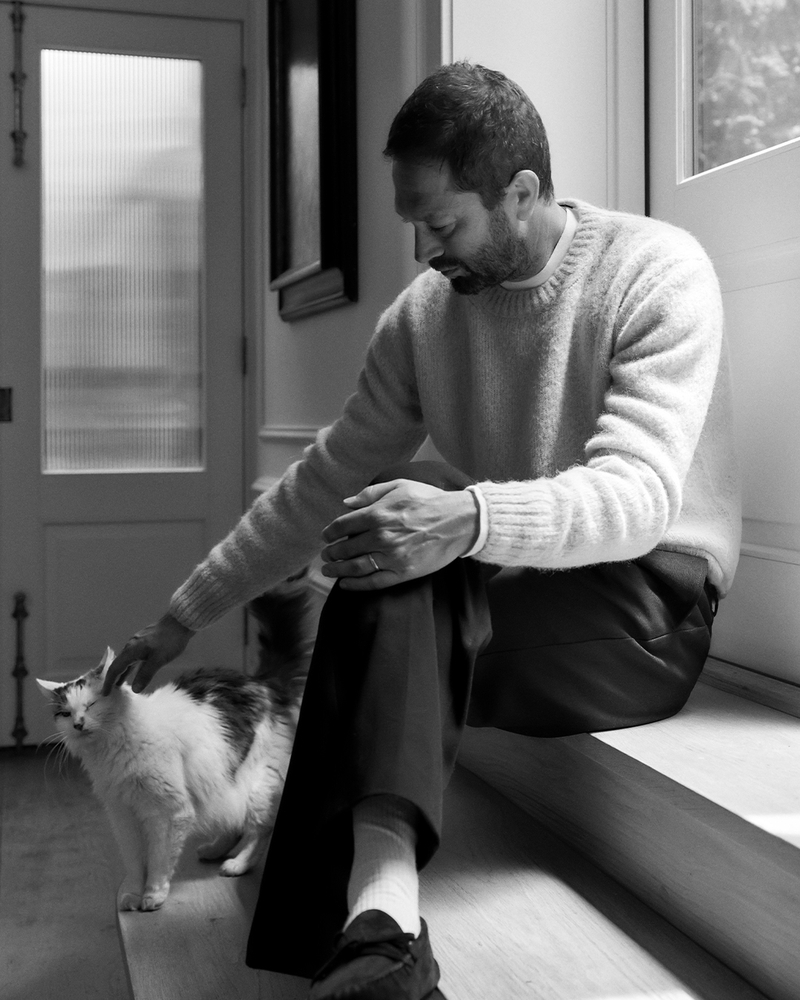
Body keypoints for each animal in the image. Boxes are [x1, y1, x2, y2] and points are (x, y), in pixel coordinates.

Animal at [38, 584, 312, 916]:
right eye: (65, 714)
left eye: (90, 705)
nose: (78, 724)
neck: (110, 751)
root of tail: (262, 682)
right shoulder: (122, 813)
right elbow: (134, 863)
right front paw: (132, 895)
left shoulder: (168, 813)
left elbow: (158, 859)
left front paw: (153, 895)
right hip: (222, 782)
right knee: (233, 822)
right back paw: (214, 850)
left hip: (255, 786)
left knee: (259, 830)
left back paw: (237, 864)